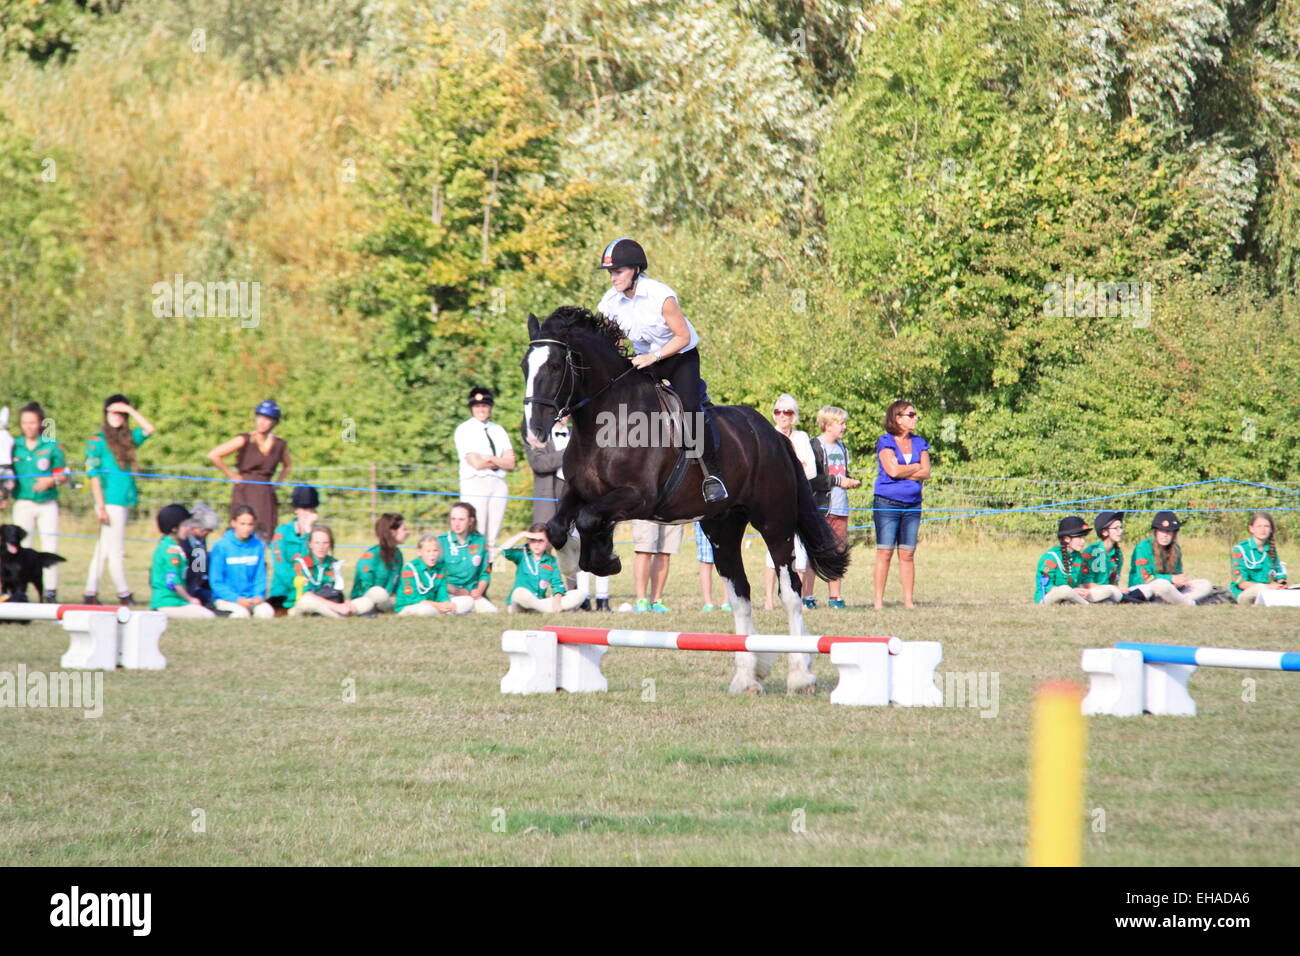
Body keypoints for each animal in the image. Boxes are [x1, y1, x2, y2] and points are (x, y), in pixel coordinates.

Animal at [522, 308, 847, 697]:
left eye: (556, 366)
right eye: (525, 366)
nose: (534, 433)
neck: (605, 422)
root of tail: (773, 436)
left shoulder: (636, 497)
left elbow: (587, 520)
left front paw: (604, 560)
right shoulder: (579, 491)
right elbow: (558, 527)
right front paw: (578, 561)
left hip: (775, 521)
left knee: (791, 591)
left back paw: (800, 675)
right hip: (723, 527)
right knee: (739, 593)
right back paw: (747, 676)